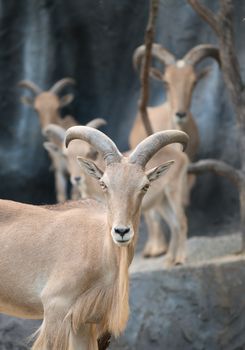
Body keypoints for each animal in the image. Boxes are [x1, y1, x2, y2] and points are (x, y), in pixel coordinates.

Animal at [0, 125, 188, 348]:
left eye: (145, 186)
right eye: (104, 184)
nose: (121, 231)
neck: (100, 250)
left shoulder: (83, 322)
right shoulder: (55, 308)